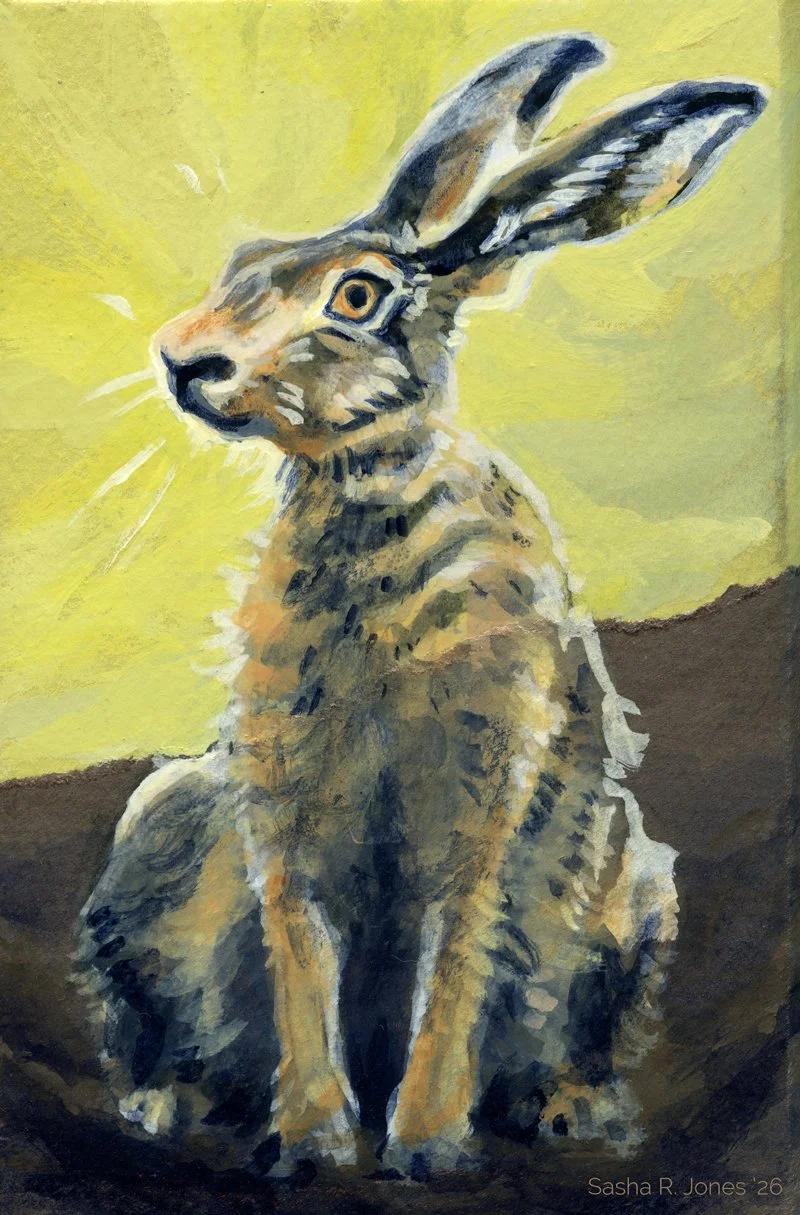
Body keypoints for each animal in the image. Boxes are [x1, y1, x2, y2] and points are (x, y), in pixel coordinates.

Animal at [77, 33, 765, 1178]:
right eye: (243, 262)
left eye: (357, 298)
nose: (183, 360)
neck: (369, 498)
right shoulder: (280, 798)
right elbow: (299, 952)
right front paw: (310, 1142)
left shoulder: (486, 786)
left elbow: (455, 960)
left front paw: (427, 1146)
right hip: (154, 845)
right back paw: (169, 1104)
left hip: (634, 894)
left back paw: (578, 1112)